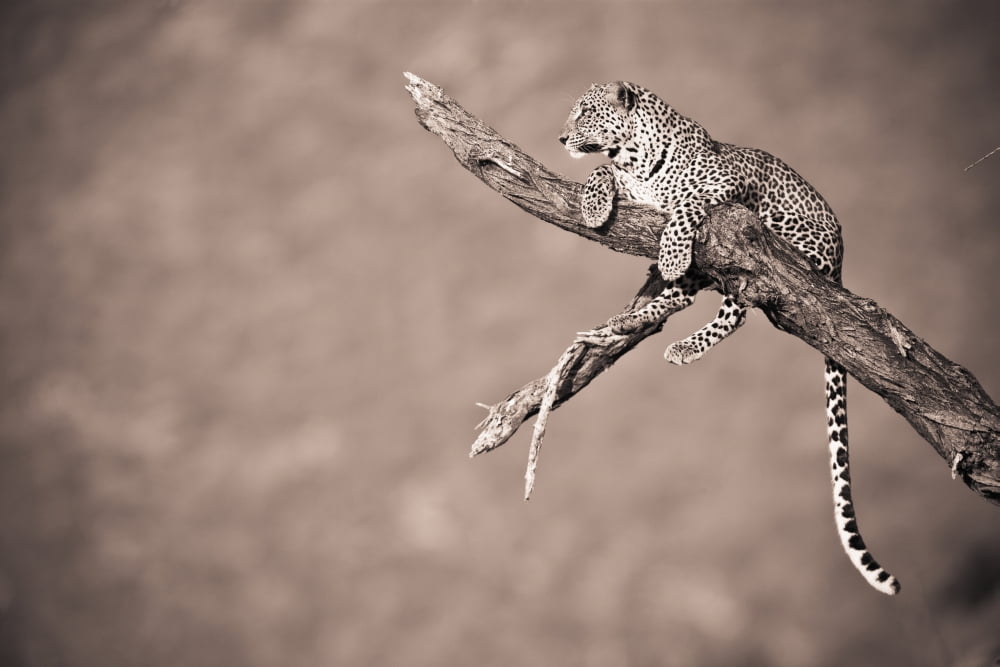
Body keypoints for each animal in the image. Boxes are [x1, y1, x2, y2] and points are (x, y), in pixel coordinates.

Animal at [559, 81, 900, 596]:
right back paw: (626, 322)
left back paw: (679, 337)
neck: (634, 158)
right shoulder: (628, 180)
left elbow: (684, 205)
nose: (560, 138)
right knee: (683, 298)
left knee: (736, 308)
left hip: (765, 244)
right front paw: (595, 207)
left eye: (585, 113)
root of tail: (840, 263)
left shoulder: (722, 185)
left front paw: (671, 250)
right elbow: (601, 171)